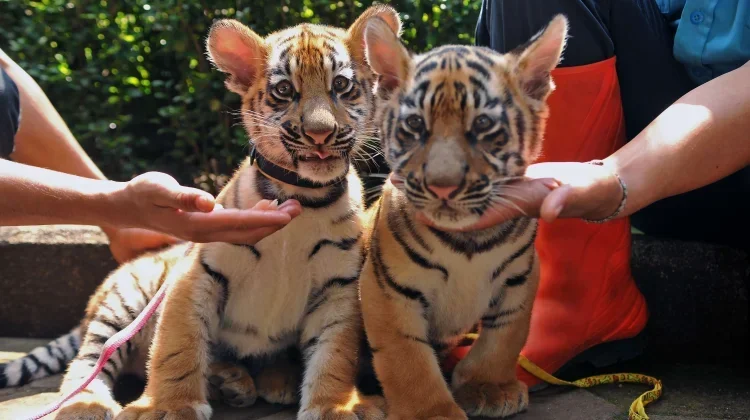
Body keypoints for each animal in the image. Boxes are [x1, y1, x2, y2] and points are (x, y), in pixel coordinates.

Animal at [0, 5, 402, 419]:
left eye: (341, 86)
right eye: (284, 90)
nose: (320, 133)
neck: (304, 195)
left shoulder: (338, 287)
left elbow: (335, 353)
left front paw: (334, 405)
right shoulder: (196, 272)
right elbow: (177, 344)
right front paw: (169, 406)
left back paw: (255, 381)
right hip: (126, 297)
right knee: (90, 358)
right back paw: (86, 403)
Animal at [357, 14, 569, 419]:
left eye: (483, 126)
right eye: (415, 126)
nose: (443, 186)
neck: (469, 239)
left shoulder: (521, 278)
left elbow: (505, 337)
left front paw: (489, 386)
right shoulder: (387, 287)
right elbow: (406, 357)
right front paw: (429, 412)